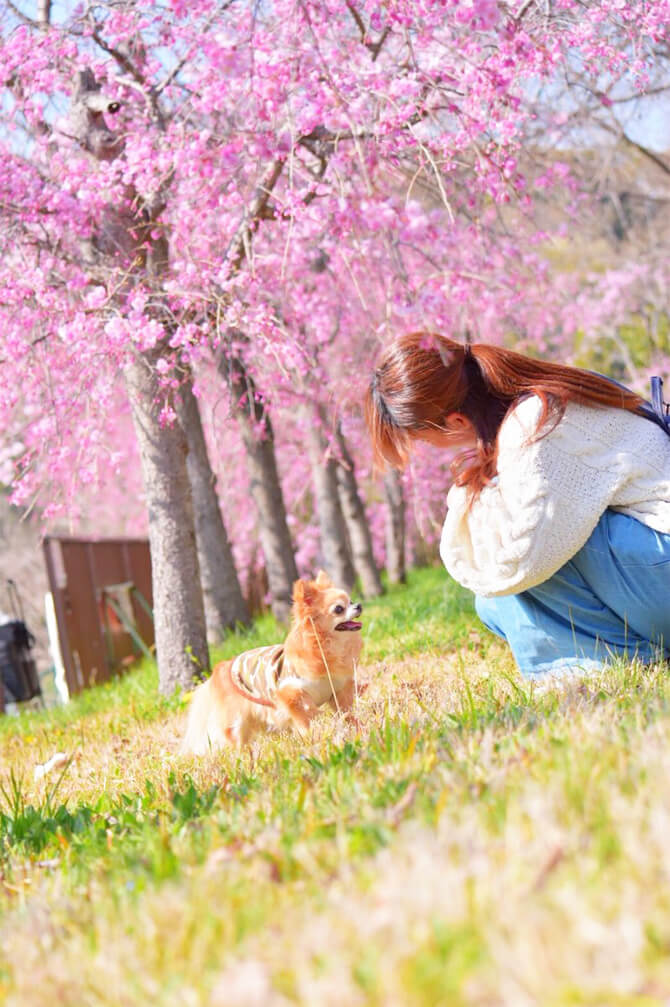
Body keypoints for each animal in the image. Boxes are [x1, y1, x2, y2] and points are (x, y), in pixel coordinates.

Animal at [180, 571, 362, 753]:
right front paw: (315, 736)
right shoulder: (290, 694)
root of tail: (219, 670)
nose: (359, 605)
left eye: (351, 601)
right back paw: (242, 754)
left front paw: (356, 729)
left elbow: (346, 712)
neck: (330, 647)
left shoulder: (338, 691)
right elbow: (305, 717)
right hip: (237, 720)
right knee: (234, 737)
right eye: (339, 609)